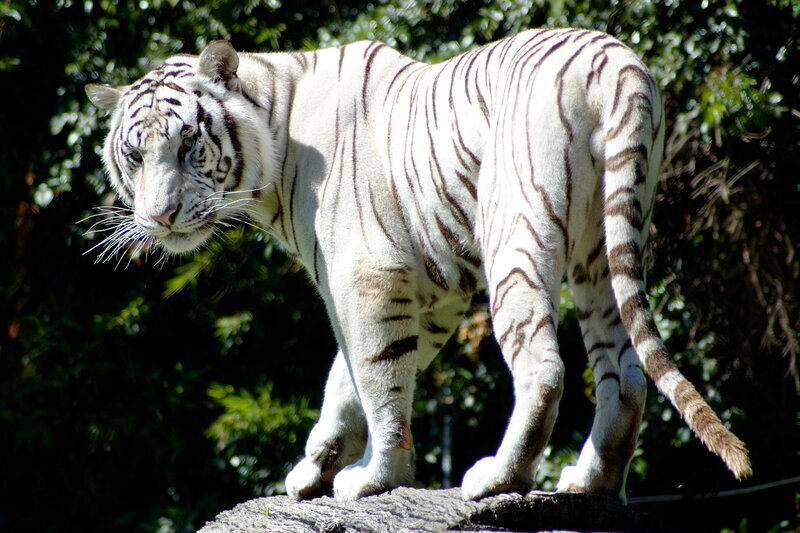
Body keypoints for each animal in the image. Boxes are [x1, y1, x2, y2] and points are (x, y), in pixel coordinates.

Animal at [86, 27, 751, 502]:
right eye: (135, 156)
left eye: (188, 146)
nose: (162, 215)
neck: (276, 131)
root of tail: (617, 64)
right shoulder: (434, 294)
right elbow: (345, 380)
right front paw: (314, 466)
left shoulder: (367, 278)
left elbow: (378, 380)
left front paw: (375, 478)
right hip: (603, 245)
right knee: (625, 371)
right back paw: (591, 482)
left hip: (516, 230)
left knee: (544, 367)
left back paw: (498, 478)